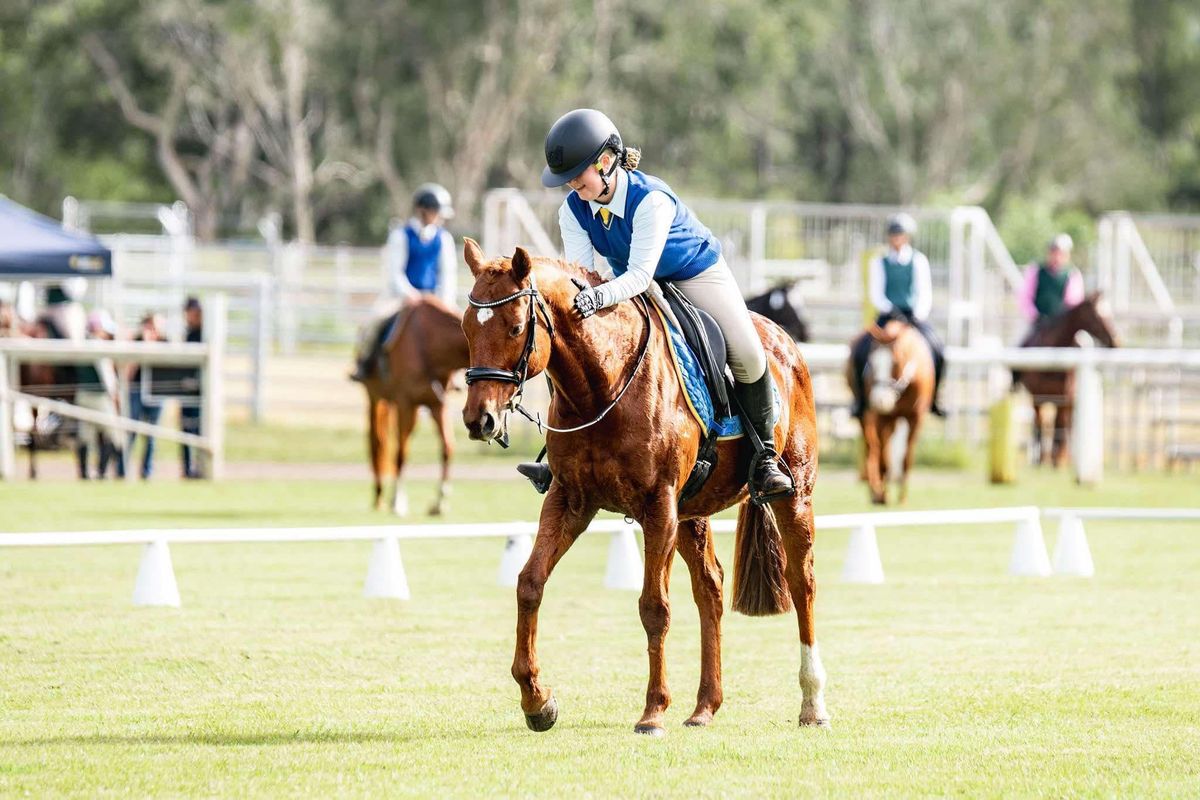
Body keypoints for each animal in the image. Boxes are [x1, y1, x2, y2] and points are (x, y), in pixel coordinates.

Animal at [355, 297, 468, 515]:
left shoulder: (438, 405)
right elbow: (401, 452)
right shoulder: (405, 404)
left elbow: (447, 447)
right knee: (377, 441)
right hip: (375, 398)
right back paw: (379, 496)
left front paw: (440, 502)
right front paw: (397, 502)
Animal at [456, 242, 825, 738]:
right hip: (692, 512)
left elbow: (654, 608)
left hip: (793, 494)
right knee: (710, 588)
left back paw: (812, 704)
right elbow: (530, 583)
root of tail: (785, 342)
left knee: (802, 584)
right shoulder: (569, 501)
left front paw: (653, 712)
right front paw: (537, 701)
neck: (601, 386)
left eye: (515, 328)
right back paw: (705, 707)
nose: (480, 420)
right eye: (465, 327)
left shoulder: (658, 507)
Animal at [844, 321, 936, 503]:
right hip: (867, 417)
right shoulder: (882, 417)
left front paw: (902, 497)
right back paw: (875, 490)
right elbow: (883, 457)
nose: (880, 400)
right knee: (872, 447)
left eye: (895, 362)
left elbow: (906, 457)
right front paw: (882, 496)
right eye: (872, 363)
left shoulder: (915, 418)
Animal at [1017, 292, 1118, 470]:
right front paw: (1041, 459)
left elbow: (1060, 423)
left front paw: (1057, 459)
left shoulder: (1064, 397)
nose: (1115, 341)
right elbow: (1041, 423)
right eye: (1097, 315)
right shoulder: (1037, 396)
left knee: (1067, 424)